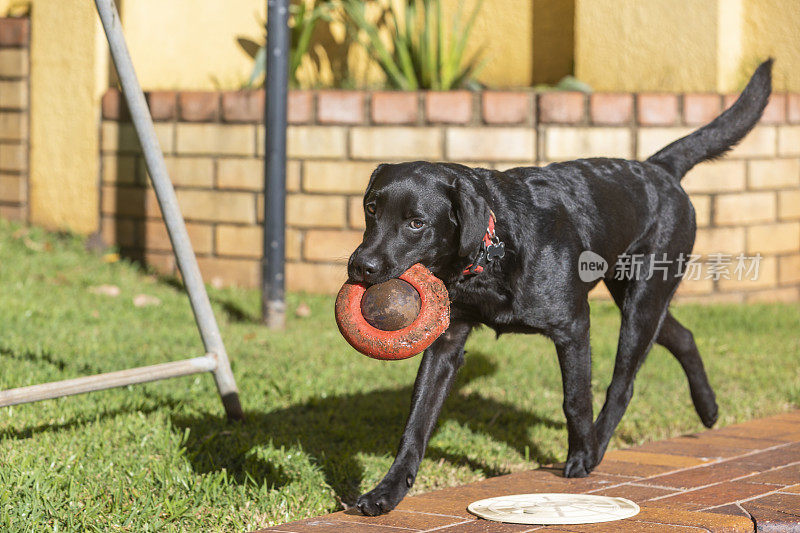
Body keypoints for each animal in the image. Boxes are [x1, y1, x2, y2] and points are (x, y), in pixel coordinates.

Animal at [346, 59, 772, 516]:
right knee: (682, 335)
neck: (494, 249)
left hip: (643, 299)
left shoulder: (573, 327)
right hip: (635, 293)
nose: (360, 266)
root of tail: (658, 168)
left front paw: (580, 455)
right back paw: (708, 409)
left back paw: (597, 447)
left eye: (416, 222)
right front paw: (387, 491)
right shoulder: (447, 341)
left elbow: (576, 399)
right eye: (371, 209)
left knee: (623, 383)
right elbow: (417, 420)